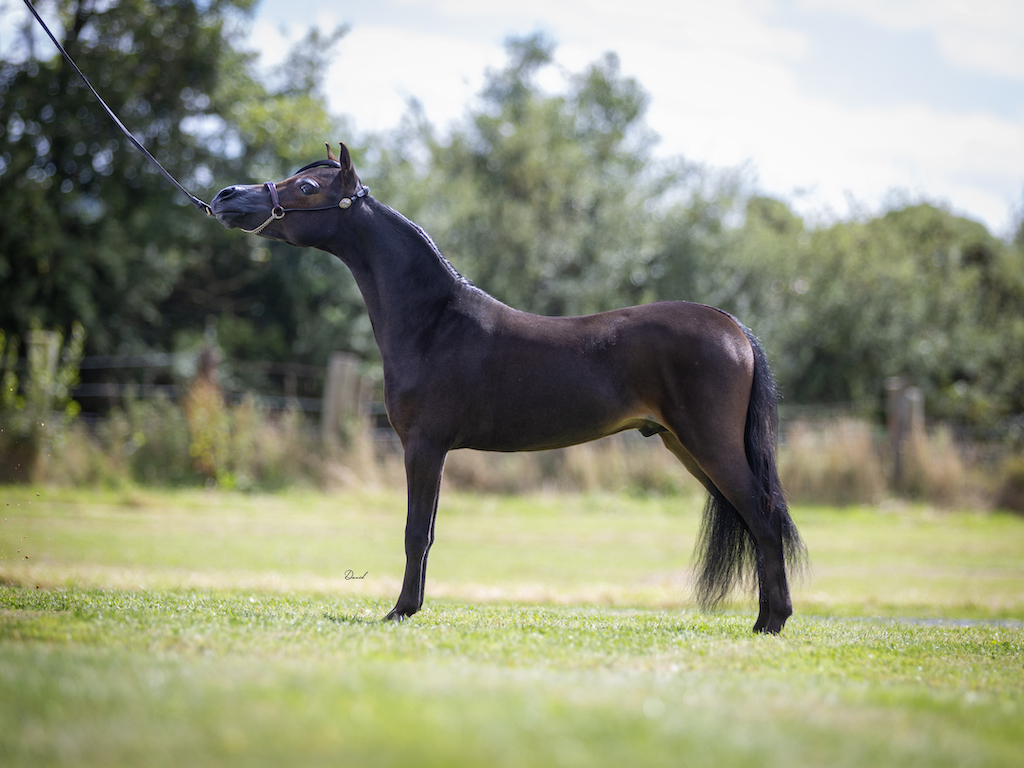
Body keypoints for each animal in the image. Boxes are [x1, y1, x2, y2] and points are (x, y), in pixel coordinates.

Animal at [211, 142, 805, 634]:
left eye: (308, 186)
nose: (225, 196)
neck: (435, 323)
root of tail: (733, 328)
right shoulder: (434, 450)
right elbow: (427, 532)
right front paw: (413, 607)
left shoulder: (423, 446)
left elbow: (414, 531)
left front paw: (400, 610)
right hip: (686, 446)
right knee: (753, 519)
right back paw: (764, 618)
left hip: (709, 444)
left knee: (763, 517)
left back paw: (771, 623)